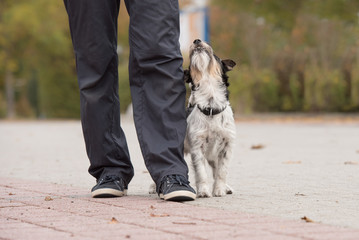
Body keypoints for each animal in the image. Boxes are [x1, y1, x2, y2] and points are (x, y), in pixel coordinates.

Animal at [184, 39, 238, 197]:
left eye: (215, 56)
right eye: (190, 63)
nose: (197, 40)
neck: (211, 107)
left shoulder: (227, 147)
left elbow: (221, 172)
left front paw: (219, 189)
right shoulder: (197, 148)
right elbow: (201, 173)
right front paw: (203, 191)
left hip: (214, 156)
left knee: (215, 170)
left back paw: (226, 187)